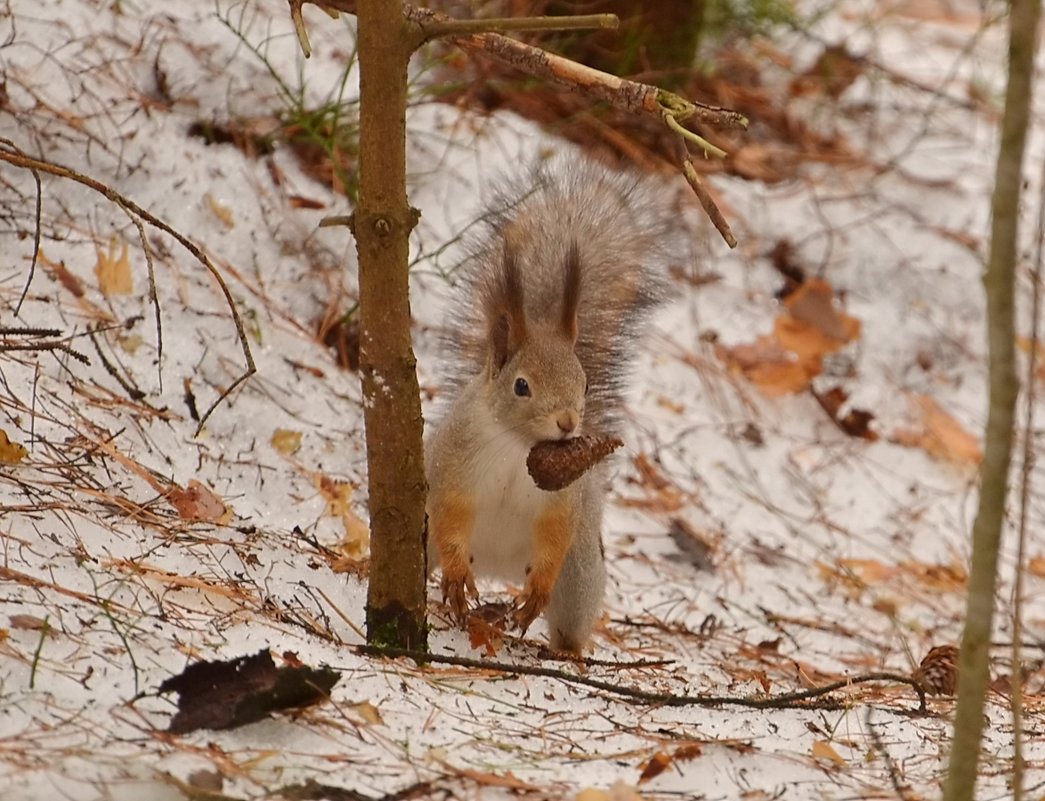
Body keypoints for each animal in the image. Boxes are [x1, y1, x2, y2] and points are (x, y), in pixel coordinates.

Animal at [424, 159, 677, 655]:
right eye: (521, 386)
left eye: (585, 383)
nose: (568, 422)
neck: (516, 448)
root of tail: (496, 565)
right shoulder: (454, 468)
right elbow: (450, 515)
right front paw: (457, 579)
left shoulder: (562, 501)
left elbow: (554, 534)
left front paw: (536, 594)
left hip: (579, 573)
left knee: (567, 612)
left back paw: (565, 649)